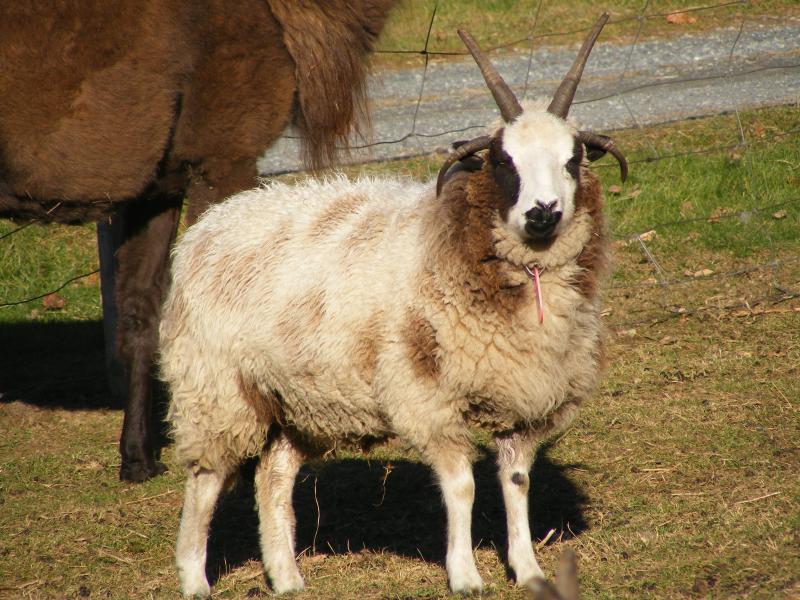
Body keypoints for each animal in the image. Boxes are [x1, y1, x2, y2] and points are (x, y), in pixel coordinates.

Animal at [159, 13, 627, 596]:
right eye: (502, 160)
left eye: (572, 159)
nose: (543, 213)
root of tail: (207, 226)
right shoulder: (427, 397)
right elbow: (462, 486)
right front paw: (465, 575)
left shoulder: (525, 396)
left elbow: (516, 481)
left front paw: (528, 568)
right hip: (216, 388)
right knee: (205, 481)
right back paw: (195, 577)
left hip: (297, 400)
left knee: (273, 477)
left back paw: (287, 576)